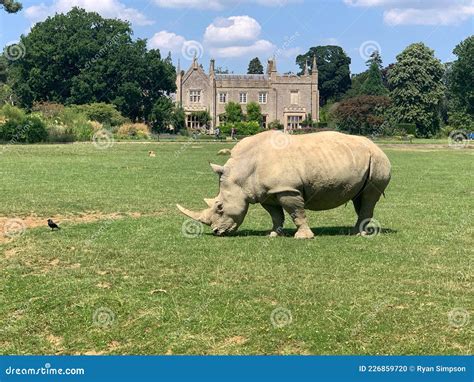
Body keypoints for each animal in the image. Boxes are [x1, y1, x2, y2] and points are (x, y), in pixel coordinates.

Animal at [178, 131, 392, 239]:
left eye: (220, 207)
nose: (216, 232)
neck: (241, 172)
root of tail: (377, 147)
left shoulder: (288, 189)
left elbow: (296, 213)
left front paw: (302, 237)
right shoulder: (266, 192)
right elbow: (276, 215)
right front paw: (273, 234)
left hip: (378, 161)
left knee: (369, 197)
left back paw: (358, 234)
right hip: (365, 161)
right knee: (359, 197)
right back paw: (356, 231)